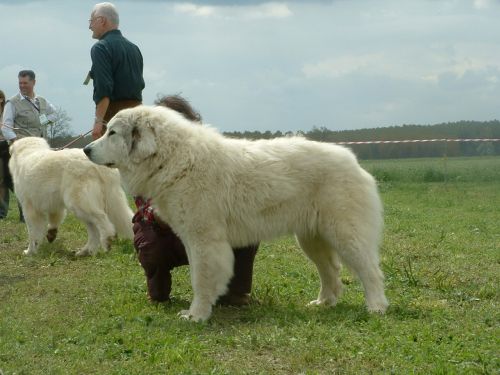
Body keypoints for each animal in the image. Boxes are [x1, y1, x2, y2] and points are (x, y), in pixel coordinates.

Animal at [84, 106, 388, 324]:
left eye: (112, 133)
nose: (86, 149)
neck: (174, 158)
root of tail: (353, 160)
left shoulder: (205, 240)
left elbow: (201, 278)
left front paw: (196, 315)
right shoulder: (192, 239)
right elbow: (197, 274)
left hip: (345, 233)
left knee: (370, 271)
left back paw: (376, 307)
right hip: (311, 239)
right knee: (330, 271)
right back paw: (324, 302)